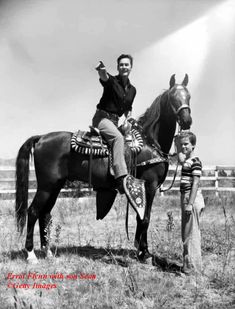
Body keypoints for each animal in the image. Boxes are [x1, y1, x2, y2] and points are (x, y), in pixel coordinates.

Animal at [14, 73, 192, 262]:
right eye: (173, 97)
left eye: (188, 96)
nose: (187, 120)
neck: (150, 142)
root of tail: (41, 138)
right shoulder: (149, 186)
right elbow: (145, 218)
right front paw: (145, 253)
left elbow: (141, 217)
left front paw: (140, 250)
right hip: (46, 186)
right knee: (33, 211)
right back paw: (31, 254)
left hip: (55, 186)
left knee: (45, 214)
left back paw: (47, 252)